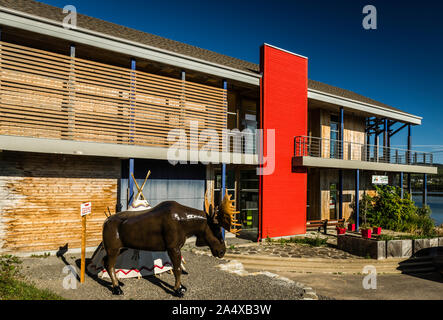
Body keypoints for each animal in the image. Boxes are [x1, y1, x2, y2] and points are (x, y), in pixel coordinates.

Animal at [102, 189, 241, 296]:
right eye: (216, 229)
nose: (222, 251)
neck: (187, 226)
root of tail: (105, 222)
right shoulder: (173, 247)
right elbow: (177, 269)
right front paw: (177, 290)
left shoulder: (175, 248)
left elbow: (177, 268)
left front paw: (181, 287)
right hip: (113, 248)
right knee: (109, 264)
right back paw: (116, 288)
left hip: (120, 248)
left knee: (106, 262)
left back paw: (118, 283)